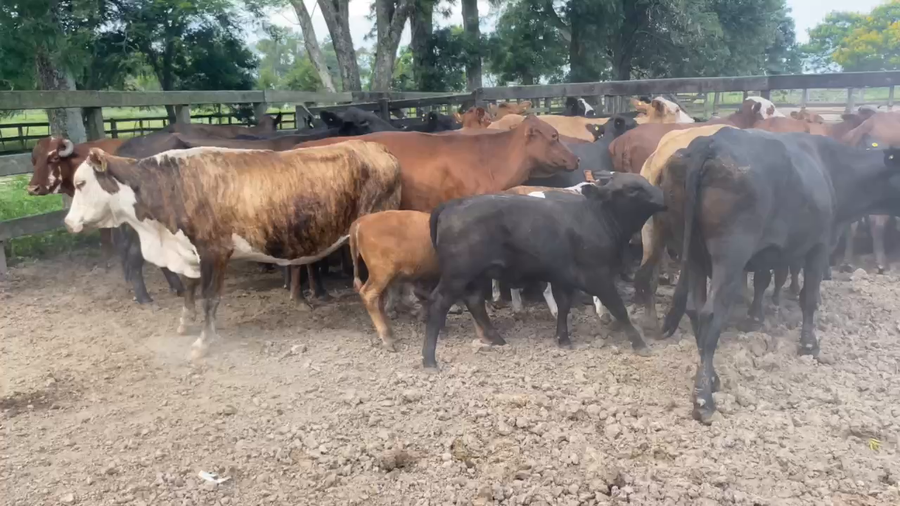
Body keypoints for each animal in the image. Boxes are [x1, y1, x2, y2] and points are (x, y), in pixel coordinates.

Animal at [63, 141, 403, 359]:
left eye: (81, 183)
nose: (68, 222)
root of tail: (376, 148)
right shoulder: (188, 253)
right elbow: (189, 290)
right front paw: (185, 322)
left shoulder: (214, 251)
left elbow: (208, 298)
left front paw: (203, 343)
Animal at [422, 173, 666, 370]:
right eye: (632, 189)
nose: (662, 198)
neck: (598, 217)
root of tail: (451, 205)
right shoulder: (598, 276)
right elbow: (618, 309)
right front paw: (640, 344)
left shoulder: (564, 278)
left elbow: (564, 305)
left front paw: (563, 339)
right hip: (458, 275)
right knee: (439, 302)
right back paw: (429, 360)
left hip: (475, 275)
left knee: (474, 301)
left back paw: (496, 338)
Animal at [658, 128, 900, 423]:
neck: (831, 168)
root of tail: (709, 142)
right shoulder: (818, 246)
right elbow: (808, 297)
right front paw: (809, 344)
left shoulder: (769, 252)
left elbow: (765, 281)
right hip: (730, 254)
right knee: (711, 313)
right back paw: (703, 397)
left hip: (693, 252)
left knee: (694, 309)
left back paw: (712, 378)